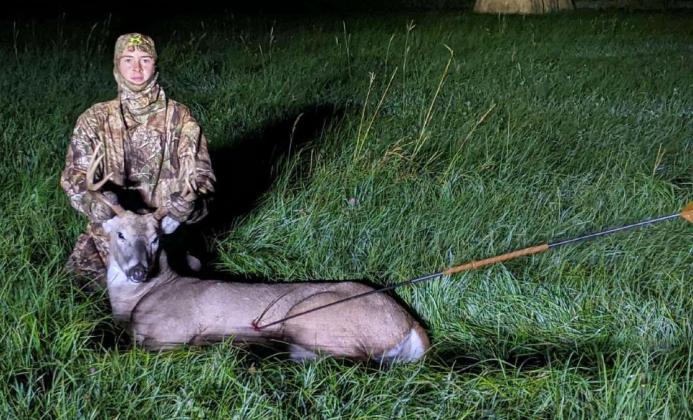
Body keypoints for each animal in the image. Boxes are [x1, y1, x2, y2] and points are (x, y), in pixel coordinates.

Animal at [85, 148, 430, 363]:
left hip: (311, 317)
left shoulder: (170, 334)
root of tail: (411, 325)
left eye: (156, 239)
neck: (140, 301)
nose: (139, 272)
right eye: (120, 234)